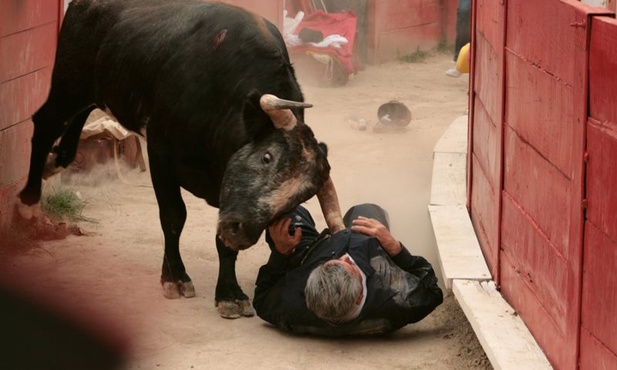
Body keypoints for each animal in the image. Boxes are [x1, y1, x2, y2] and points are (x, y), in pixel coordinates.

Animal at [18, 0, 346, 318]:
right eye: (267, 157)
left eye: (302, 196)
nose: (241, 233)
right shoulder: (160, 154)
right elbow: (174, 216)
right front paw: (175, 278)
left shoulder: (227, 195)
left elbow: (222, 242)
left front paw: (229, 294)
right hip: (69, 83)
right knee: (46, 123)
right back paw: (28, 203)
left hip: (94, 91)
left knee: (75, 126)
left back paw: (52, 164)